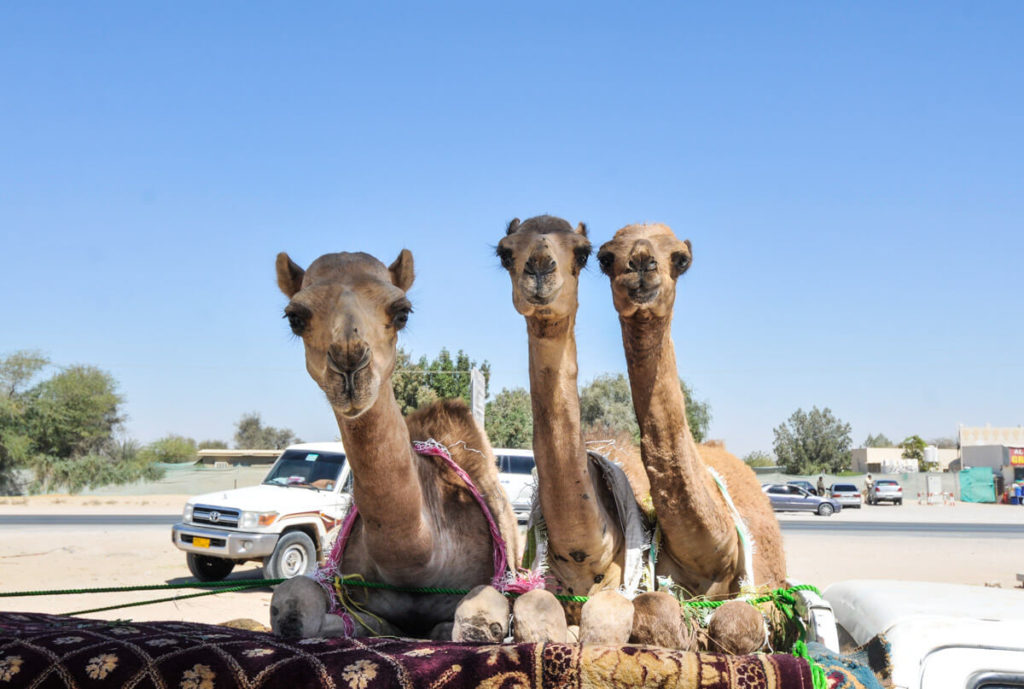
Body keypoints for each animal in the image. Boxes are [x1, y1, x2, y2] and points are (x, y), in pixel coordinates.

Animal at [268, 247, 520, 638]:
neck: (416, 566)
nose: (349, 364)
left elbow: (468, 624)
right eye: (295, 317)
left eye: (402, 313)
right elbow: (294, 608)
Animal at [598, 223, 786, 651]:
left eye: (680, 259)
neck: (715, 553)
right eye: (605, 258)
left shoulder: (770, 595)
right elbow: (654, 611)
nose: (640, 263)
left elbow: (736, 622)